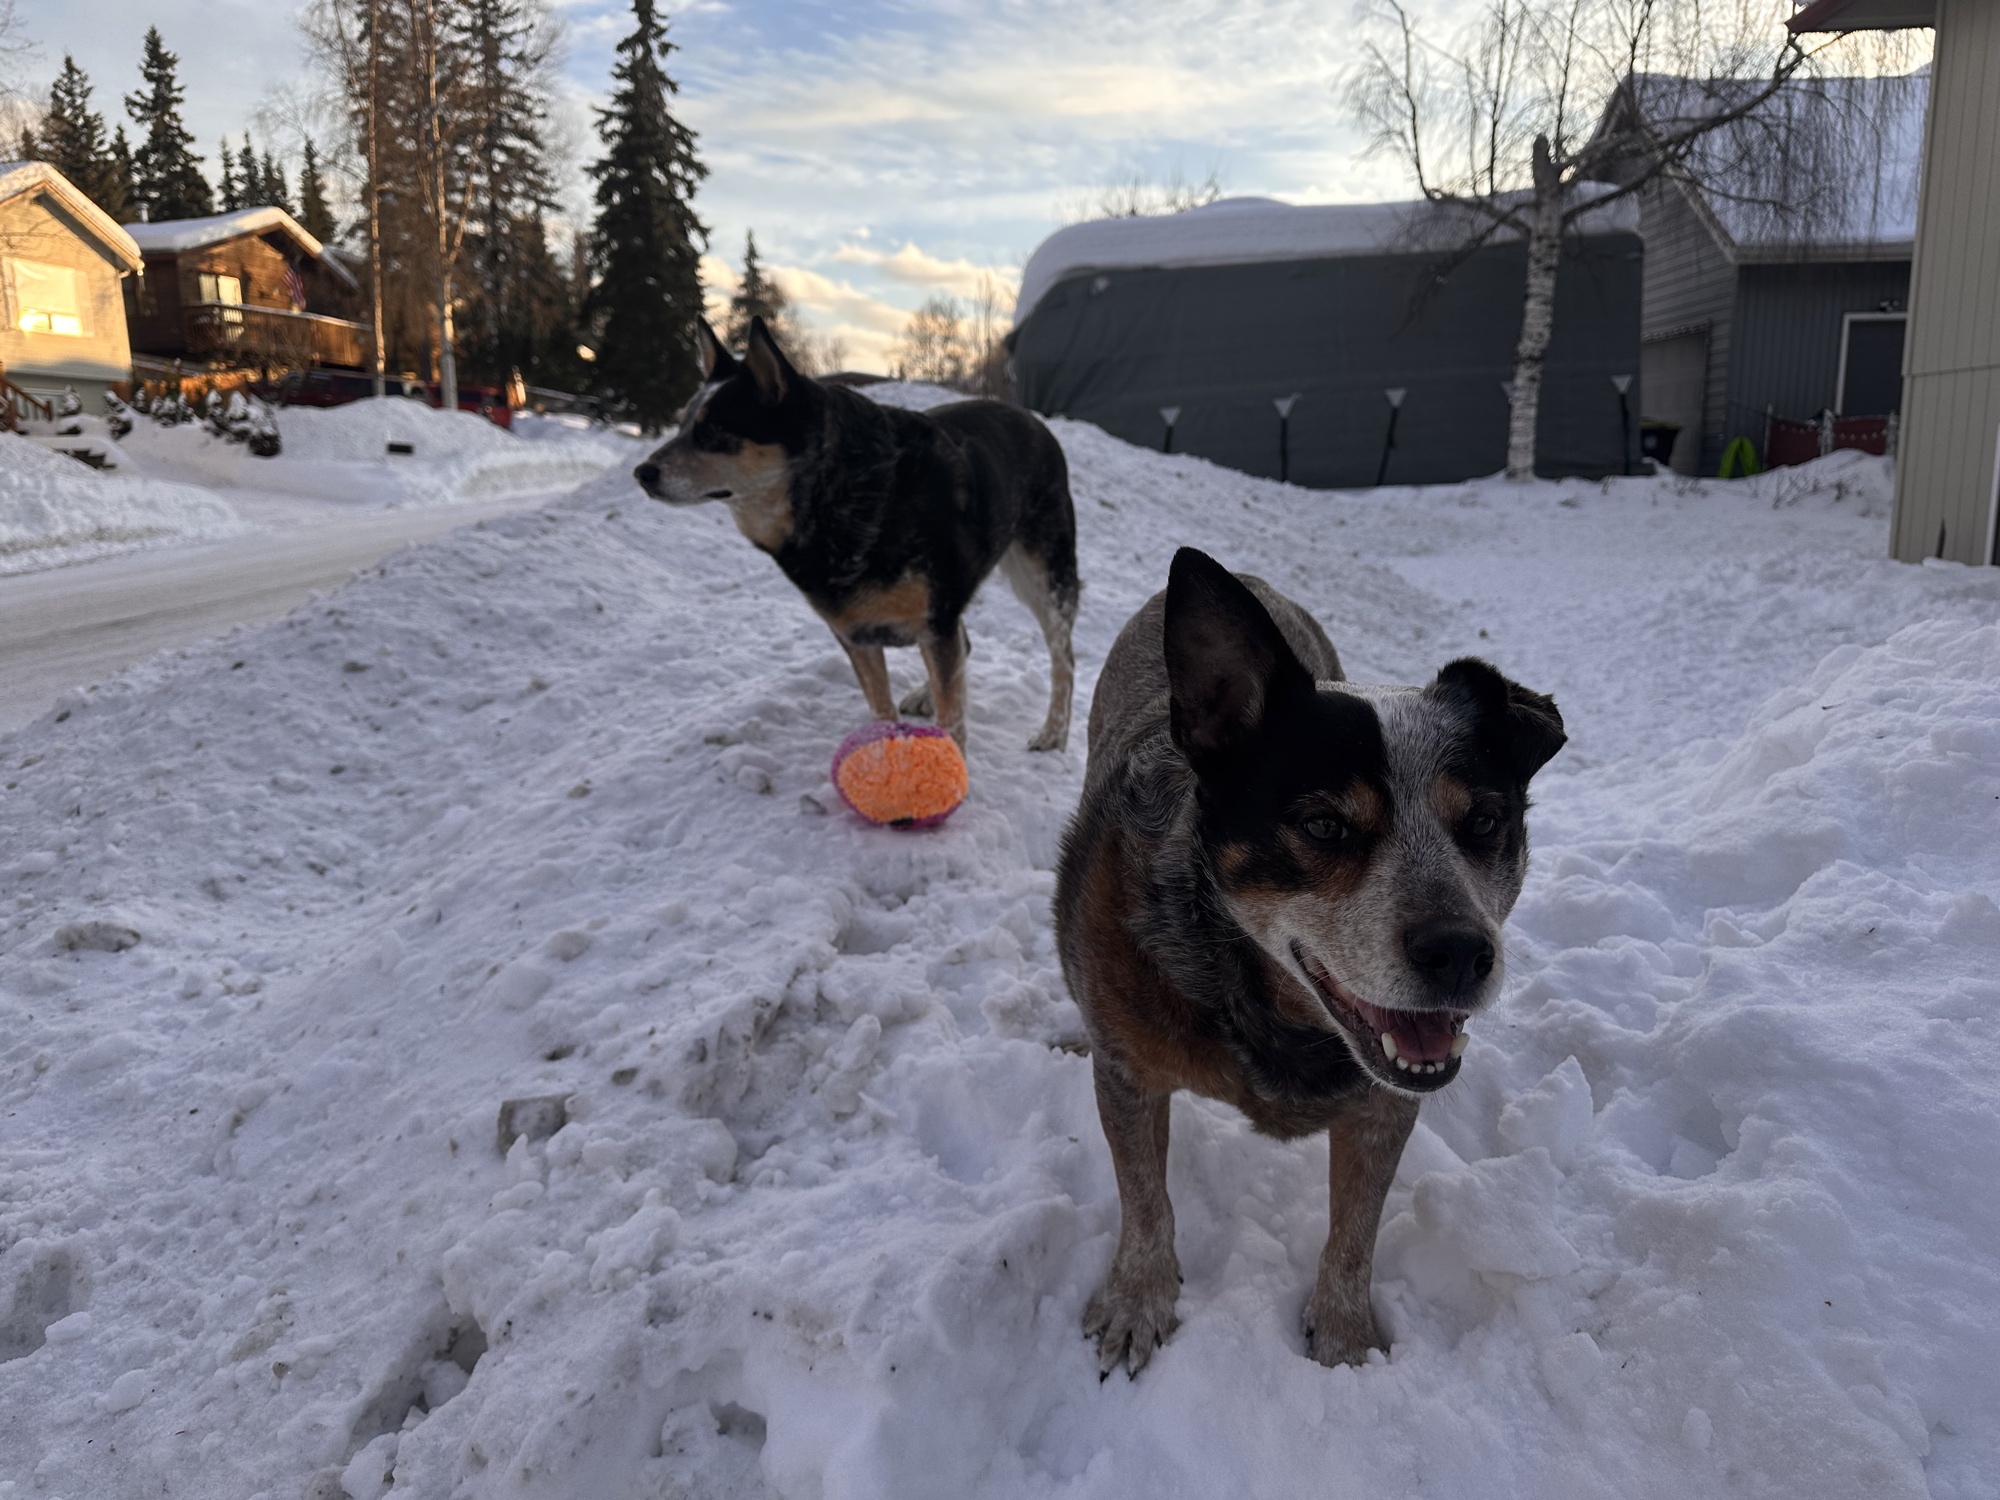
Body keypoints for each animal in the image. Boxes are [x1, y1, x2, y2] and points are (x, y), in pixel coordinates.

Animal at [633, 318, 1080, 752]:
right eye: (681, 425)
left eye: (713, 430)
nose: (642, 473)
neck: (839, 493)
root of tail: (1033, 419)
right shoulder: (857, 636)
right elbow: (883, 711)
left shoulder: (935, 620)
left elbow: (952, 723)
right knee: (965, 646)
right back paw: (927, 694)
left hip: (1044, 578)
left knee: (1063, 659)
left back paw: (1054, 733)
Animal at [1054, 547, 1565, 1376]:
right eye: (1324, 825)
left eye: (1486, 820)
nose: (1461, 952)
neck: (1259, 1006)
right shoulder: (1130, 1073)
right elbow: (1145, 1196)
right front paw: (1138, 1299)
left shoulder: (1383, 1104)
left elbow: (1355, 1230)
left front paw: (1345, 1336)